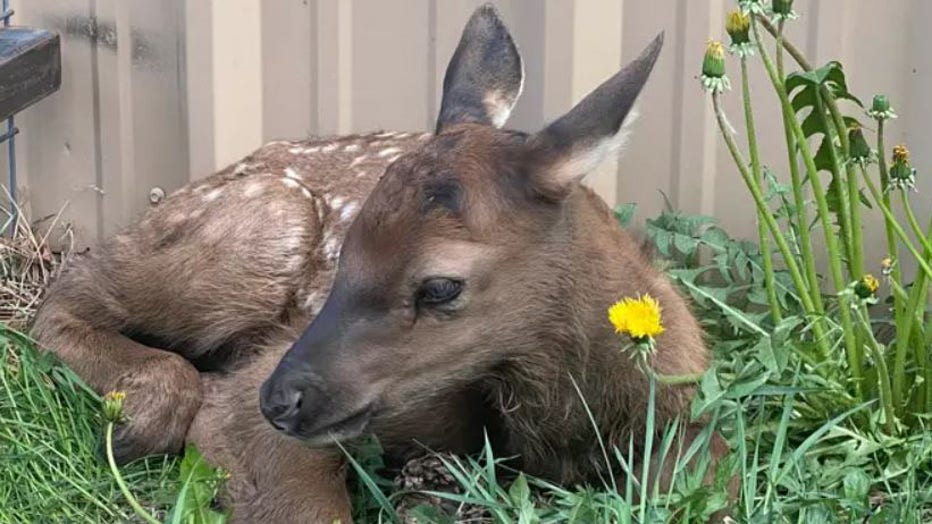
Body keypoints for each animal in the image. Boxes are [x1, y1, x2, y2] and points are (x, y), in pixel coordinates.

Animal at [32, 5, 724, 524]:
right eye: (348, 252)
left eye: (441, 286)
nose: (279, 398)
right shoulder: (254, 405)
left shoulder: (691, 427)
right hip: (268, 226)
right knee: (68, 292)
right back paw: (143, 412)